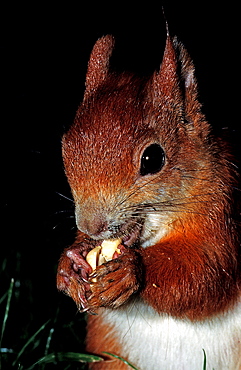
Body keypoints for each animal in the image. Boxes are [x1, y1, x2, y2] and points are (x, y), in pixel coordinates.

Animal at [56, 33, 241, 368]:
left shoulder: (224, 214)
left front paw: (131, 271)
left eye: (153, 158)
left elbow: (206, 273)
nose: (90, 226)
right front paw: (68, 265)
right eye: (66, 147)